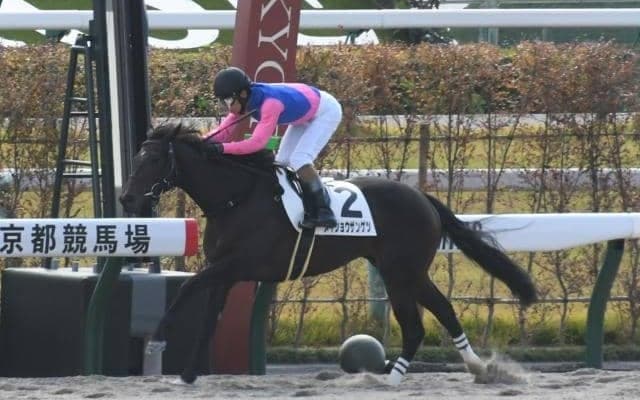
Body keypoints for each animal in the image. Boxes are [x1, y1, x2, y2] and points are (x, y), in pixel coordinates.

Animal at [119, 123, 537, 385]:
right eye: (136, 157)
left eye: (152, 160)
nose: (126, 198)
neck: (236, 199)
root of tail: (423, 198)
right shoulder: (225, 270)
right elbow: (208, 318)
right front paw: (189, 375)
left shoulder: (239, 264)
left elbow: (190, 288)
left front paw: (157, 338)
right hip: (407, 271)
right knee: (444, 309)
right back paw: (477, 368)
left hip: (400, 272)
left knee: (415, 325)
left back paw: (390, 380)